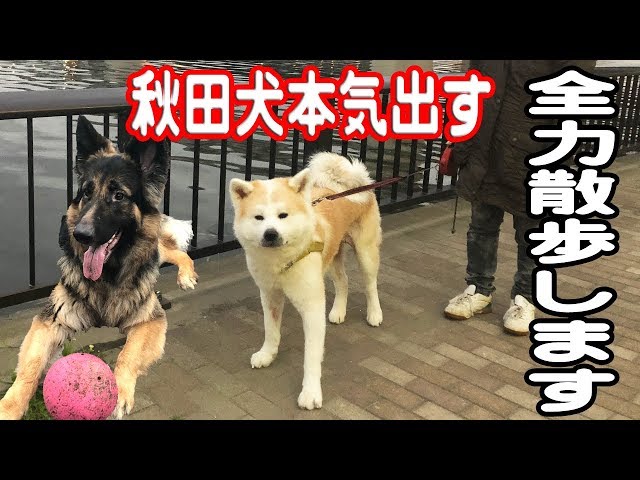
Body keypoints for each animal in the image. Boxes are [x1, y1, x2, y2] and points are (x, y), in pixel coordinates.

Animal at [0, 115, 197, 420]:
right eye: (86, 193)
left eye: (118, 196)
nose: (80, 235)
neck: (108, 275)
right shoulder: (51, 320)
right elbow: (29, 369)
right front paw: (8, 408)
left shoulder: (151, 320)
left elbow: (128, 354)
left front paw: (119, 394)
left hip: (155, 250)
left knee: (175, 251)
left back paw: (186, 276)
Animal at [229, 151, 383, 410]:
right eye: (259, 218)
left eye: (283, 215)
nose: (270, 234)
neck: (281, 261)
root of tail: (354, 185)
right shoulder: (270, 295)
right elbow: (271, 330)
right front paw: (267, 354)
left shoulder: (312, 306)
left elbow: (311, 355)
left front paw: (310, 393)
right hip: (333, 255)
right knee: (343, 282)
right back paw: (338, 311)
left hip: (365, 252)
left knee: (371, 285)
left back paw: (374, 314)